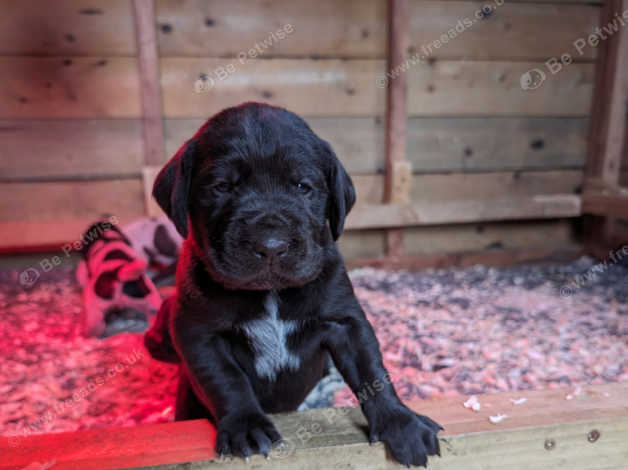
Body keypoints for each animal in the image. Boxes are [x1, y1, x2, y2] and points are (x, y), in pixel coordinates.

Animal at [147, 102, 442, 466]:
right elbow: (226, 378)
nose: (271, 245)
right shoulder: (199, 333)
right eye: (221, 187)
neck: (271, 292)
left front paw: (400, 422)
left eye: (303, 187)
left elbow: (371, 371)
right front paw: (246, 425)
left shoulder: (345, 321)